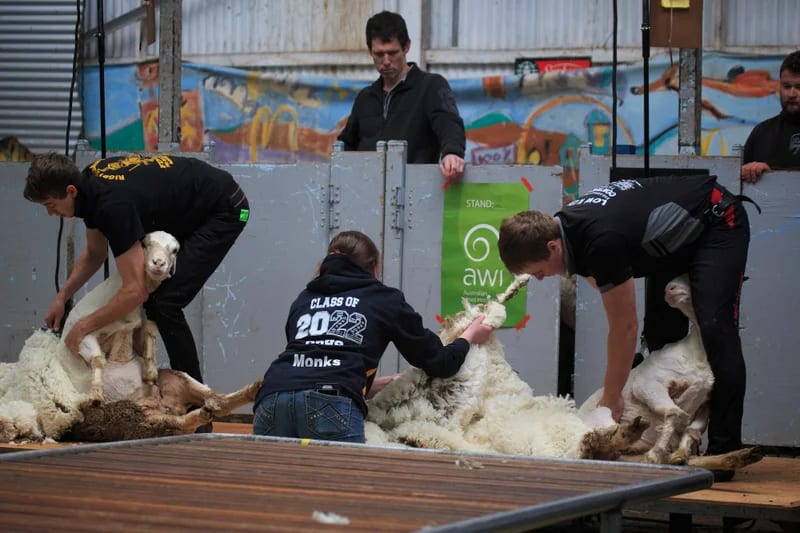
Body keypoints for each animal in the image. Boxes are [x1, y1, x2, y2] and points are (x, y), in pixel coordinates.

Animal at [61, 230, 179, 403]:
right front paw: (96, 397)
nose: (158, 263)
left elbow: (150, 333)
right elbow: (98, 360)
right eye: (145, 244)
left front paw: (150, 373)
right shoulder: (81, 336)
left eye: (175, 250)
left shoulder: (139, 324)